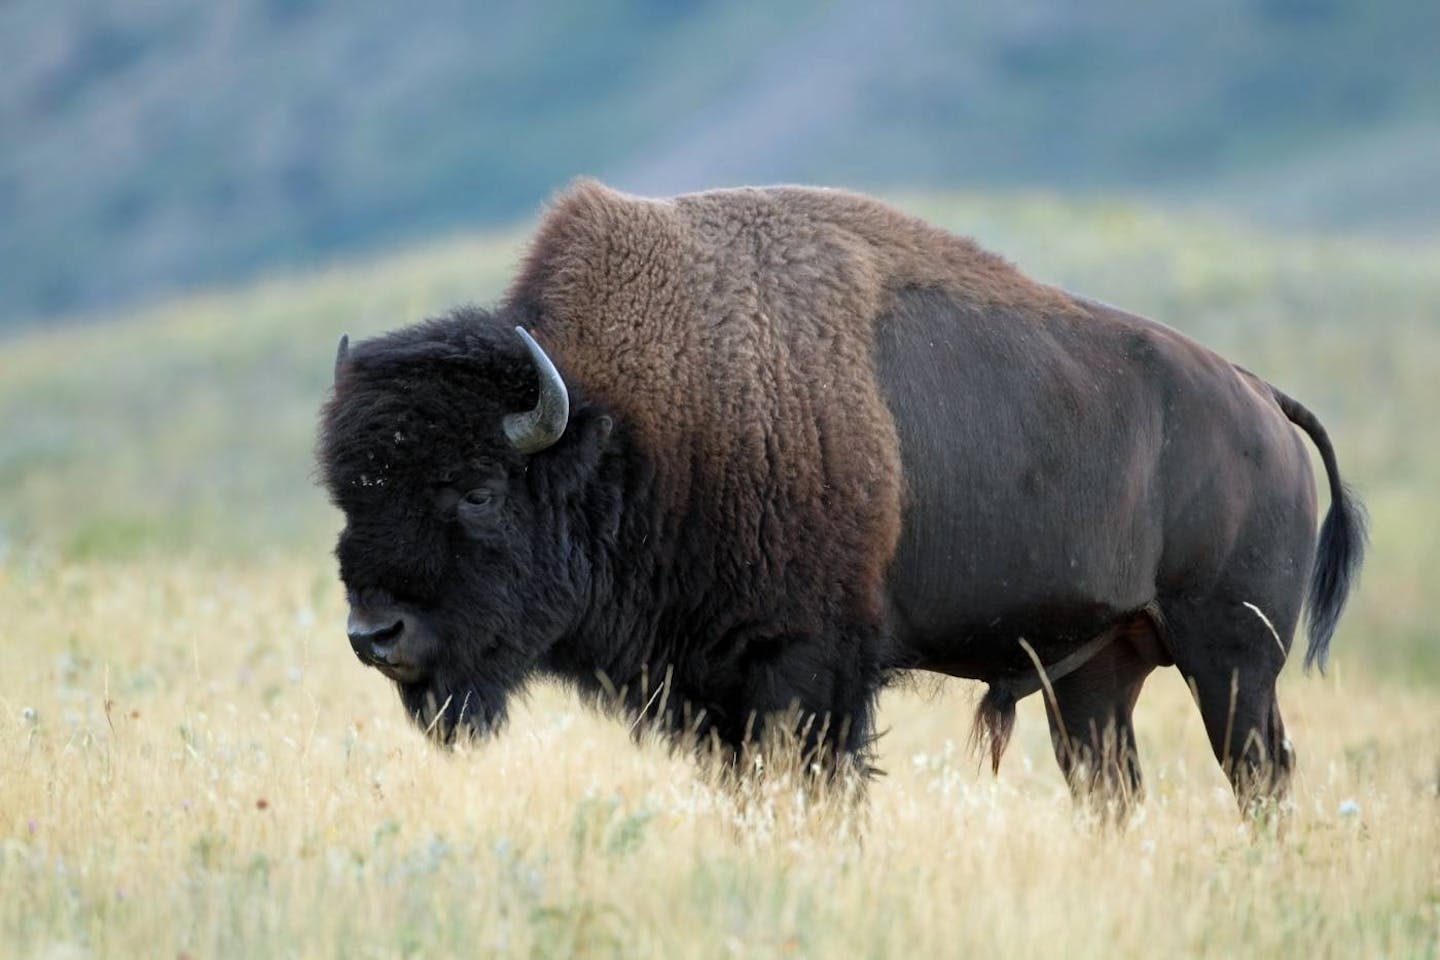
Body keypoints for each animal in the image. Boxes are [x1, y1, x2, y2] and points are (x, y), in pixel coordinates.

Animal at [321, 182, 1365, 811]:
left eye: (479, 490)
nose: (374, 635)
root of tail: (1261, 398)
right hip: (1098, 675)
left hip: (1231, 658)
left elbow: (818, 780)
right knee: (1111, 784)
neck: (631, 424)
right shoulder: (720, 688)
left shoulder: (807, 669)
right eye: (345, 494)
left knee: (1260, 773)